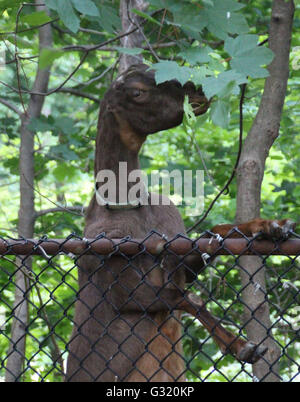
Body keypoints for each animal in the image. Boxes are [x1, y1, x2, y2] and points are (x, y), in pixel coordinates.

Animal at [66, 64, 296, 382]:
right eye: (137, 92)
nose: (197, 90)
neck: (130, 207)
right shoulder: (121, 285)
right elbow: (186, 297)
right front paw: (244, 347)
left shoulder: (177, 254)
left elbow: (210, 239)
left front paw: (272, 226)